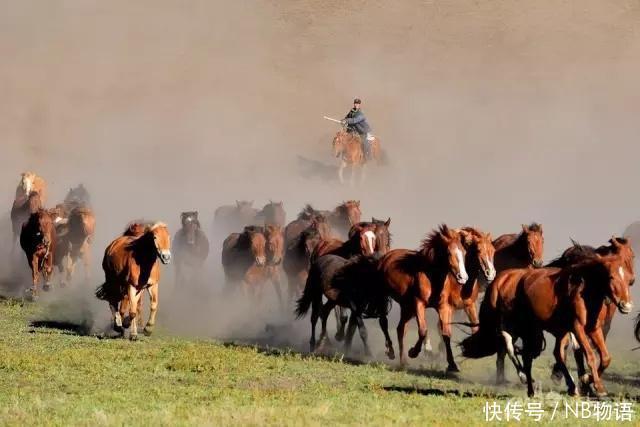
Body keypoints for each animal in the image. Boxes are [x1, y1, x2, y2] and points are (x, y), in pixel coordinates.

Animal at [378, 224, 468, 368]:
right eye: (449, 253)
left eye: (464, 252)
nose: (463, 277)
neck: (432, 277)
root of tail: (386, 257)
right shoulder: (419, 303)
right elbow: (423, 330)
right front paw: (413, 352)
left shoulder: (443, 307)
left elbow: (446, 334)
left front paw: (452, 365)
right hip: (384, 298)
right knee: (383, 322)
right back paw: (391, 352)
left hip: (406, 307)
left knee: (400, 329)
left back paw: (403, 361)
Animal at [462, 254, 632, 398]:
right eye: (611, 277)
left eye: (629, 279)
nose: (627, 305)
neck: (584, 290)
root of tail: (500, 280)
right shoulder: (577, 327)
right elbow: (589, 355)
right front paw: (597, 386)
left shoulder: (593, 328)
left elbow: (605, 358)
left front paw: (586, 380)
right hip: (513, 326)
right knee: (512, 349)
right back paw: (527, 381)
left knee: (546, 354)